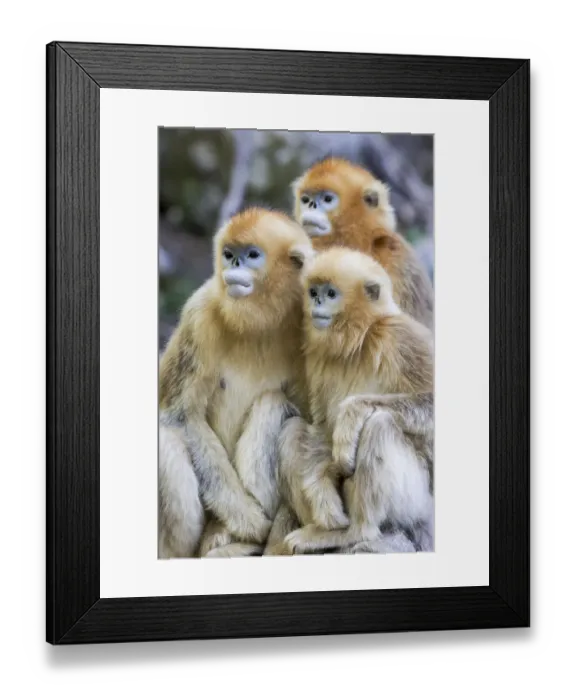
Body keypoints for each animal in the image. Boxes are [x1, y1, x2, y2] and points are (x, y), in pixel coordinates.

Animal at [158, 208, 313, 559]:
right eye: (229, 254)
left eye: (252, 255)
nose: (234, 266)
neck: (260, 324)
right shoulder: (199, 314)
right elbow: (180, 417)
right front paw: (251, 522)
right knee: (168, 440)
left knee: (272, 402)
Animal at [265, 247, 434, 556]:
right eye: (313, 291)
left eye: (331, 294)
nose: (317, 301)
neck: (361, 340)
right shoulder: (318, 359)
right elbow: (321, 427)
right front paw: (321, 482)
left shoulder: (400, 338)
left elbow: (430, 404)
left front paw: (351, 414)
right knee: (293, 430)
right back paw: (323, 530)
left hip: (415, 501)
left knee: (380, 424)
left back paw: (354, 533)